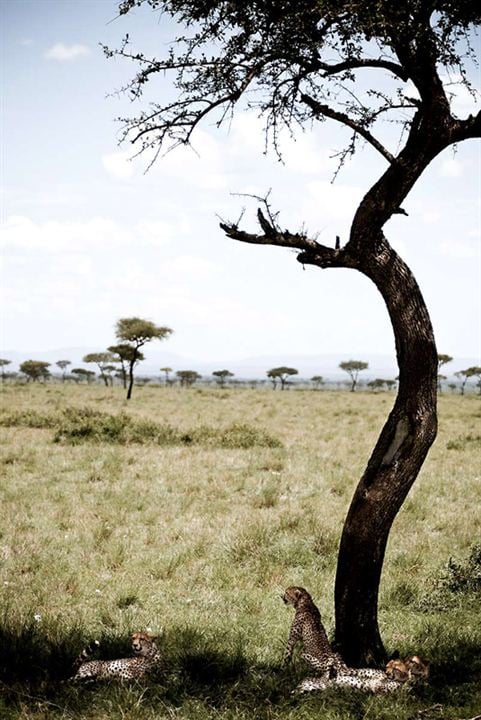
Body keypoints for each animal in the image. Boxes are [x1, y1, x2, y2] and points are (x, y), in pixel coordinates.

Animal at [282, 588, 424, 696]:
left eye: (287, 592)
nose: (281, 596)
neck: (306, 602)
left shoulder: (292, 638)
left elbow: (287, 653)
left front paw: (283, 668)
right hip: (334, 661)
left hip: (320, 665)